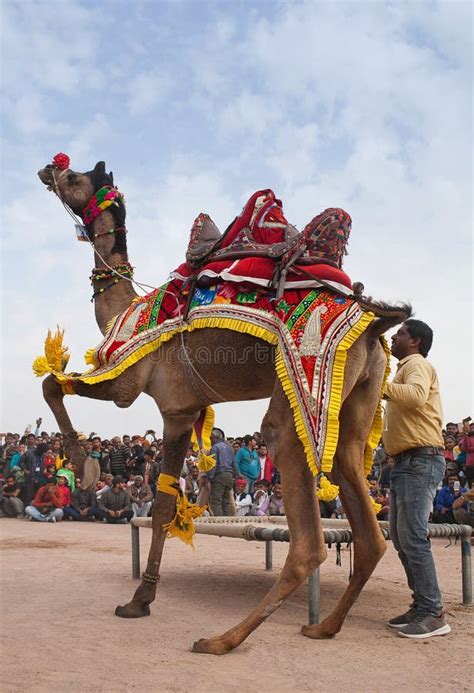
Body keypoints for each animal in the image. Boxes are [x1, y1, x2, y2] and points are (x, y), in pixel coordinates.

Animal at [36, 154, 412, 652]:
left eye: (75, 176)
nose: (47, 169)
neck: (124, 309)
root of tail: (376, 320)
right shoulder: (180, 411)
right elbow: (163, 505)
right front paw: (140, 600)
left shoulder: (128, 385)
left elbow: (53, 385)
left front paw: (85, 466)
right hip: (356, 398)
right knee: (367, 525)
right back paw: (323, 626)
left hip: (300, 391)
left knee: (307, 538)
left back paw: (223, 639)